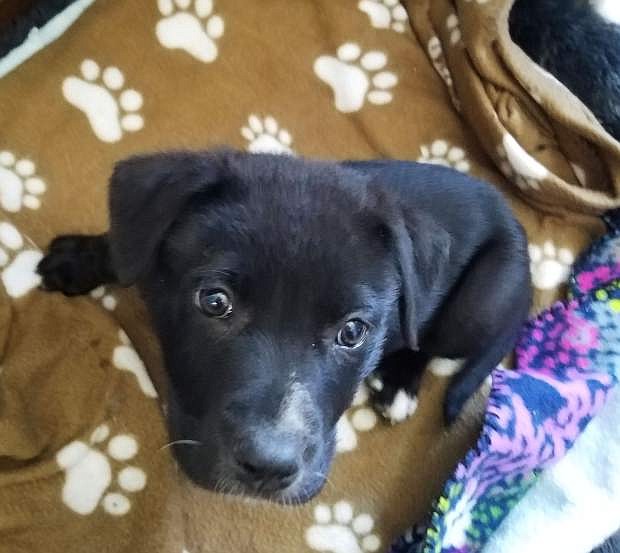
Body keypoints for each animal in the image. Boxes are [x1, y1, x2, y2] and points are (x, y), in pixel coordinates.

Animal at [36, 149, 532, 502]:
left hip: (476, 305)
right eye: (214, 302)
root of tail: (516, 227)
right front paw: (79, 258)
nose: (269, 468)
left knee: (425, 339)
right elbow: (125, 250)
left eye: (353, 331)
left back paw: (399, 385)